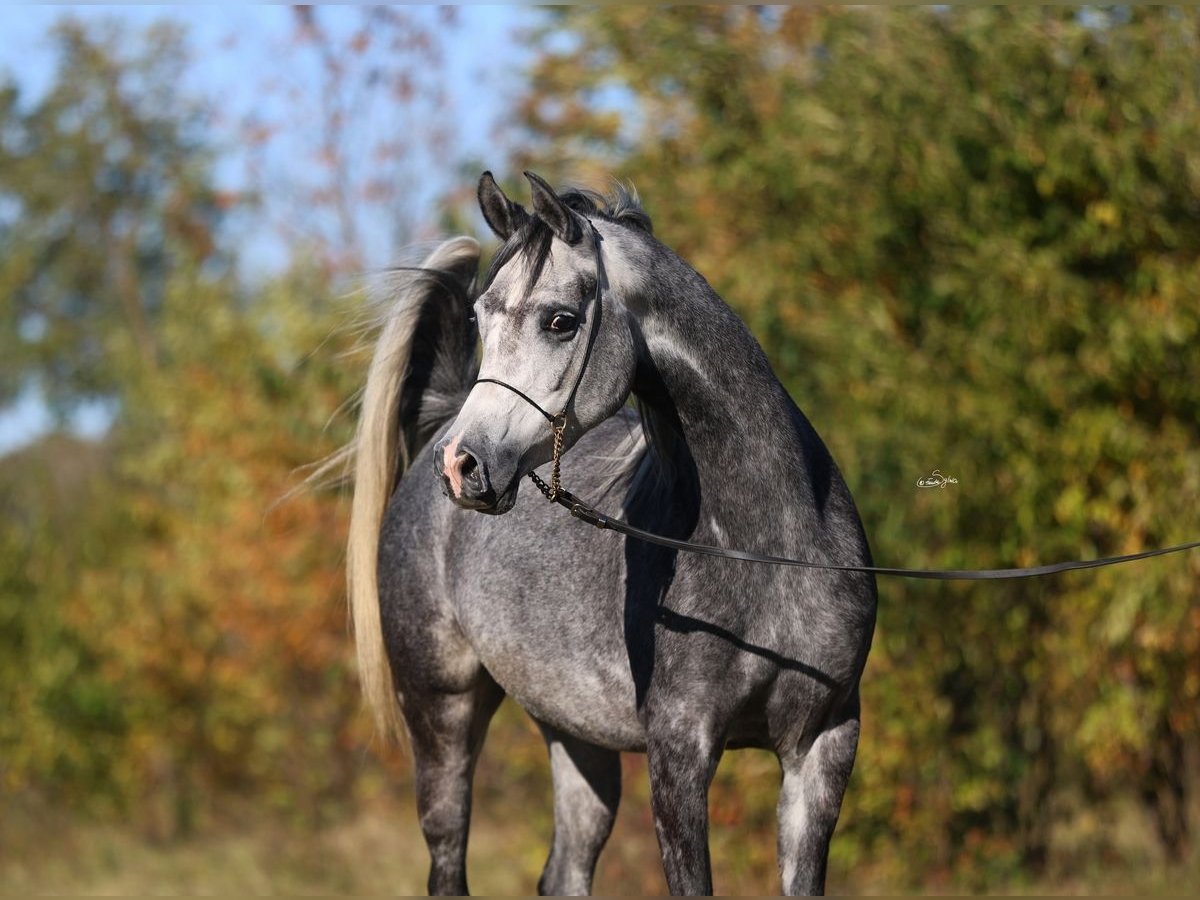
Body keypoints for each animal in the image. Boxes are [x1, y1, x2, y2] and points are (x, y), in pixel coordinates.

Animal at [343, 172, 878, 897]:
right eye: (481, 318)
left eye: (560, 321)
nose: (463, 465)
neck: (770, 550)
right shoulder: (680, 751)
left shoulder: (822, 746)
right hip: (441, 714)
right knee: (448, 859)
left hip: (574, 732)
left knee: (565, 871)